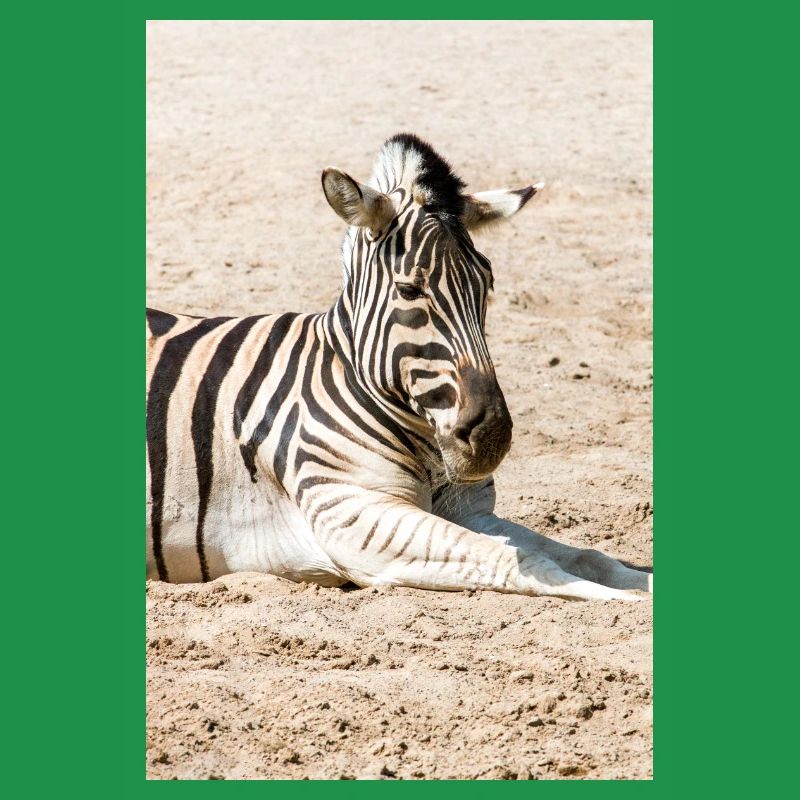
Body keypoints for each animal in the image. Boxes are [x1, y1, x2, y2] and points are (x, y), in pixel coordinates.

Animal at [146, 133, 652, 601]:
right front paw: (624, 602)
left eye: (487, 284)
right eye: (410, 290)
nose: (492, 437)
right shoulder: (352, 514)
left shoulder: (470, 510)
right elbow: (522, 560)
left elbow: (588, 556)